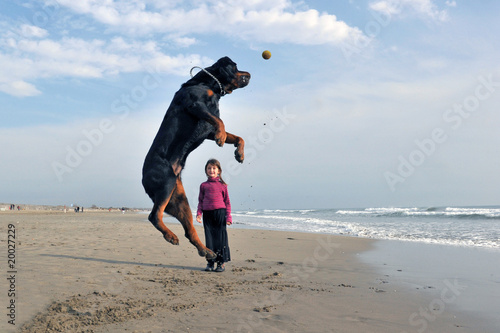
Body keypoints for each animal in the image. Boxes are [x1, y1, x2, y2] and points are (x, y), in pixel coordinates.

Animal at [142, 56, 250, 260]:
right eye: (236, 67)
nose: (249, 74)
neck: (208, 84)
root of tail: (143, 178)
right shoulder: (196, 105)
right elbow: (220, 122)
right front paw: (222, 137)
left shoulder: (208, 130)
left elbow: (238, 136)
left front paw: (239, 153)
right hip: (167, 182)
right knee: (154, 215)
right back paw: (170, 235)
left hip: (178, 198)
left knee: (188, 230)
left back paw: (205, 250)